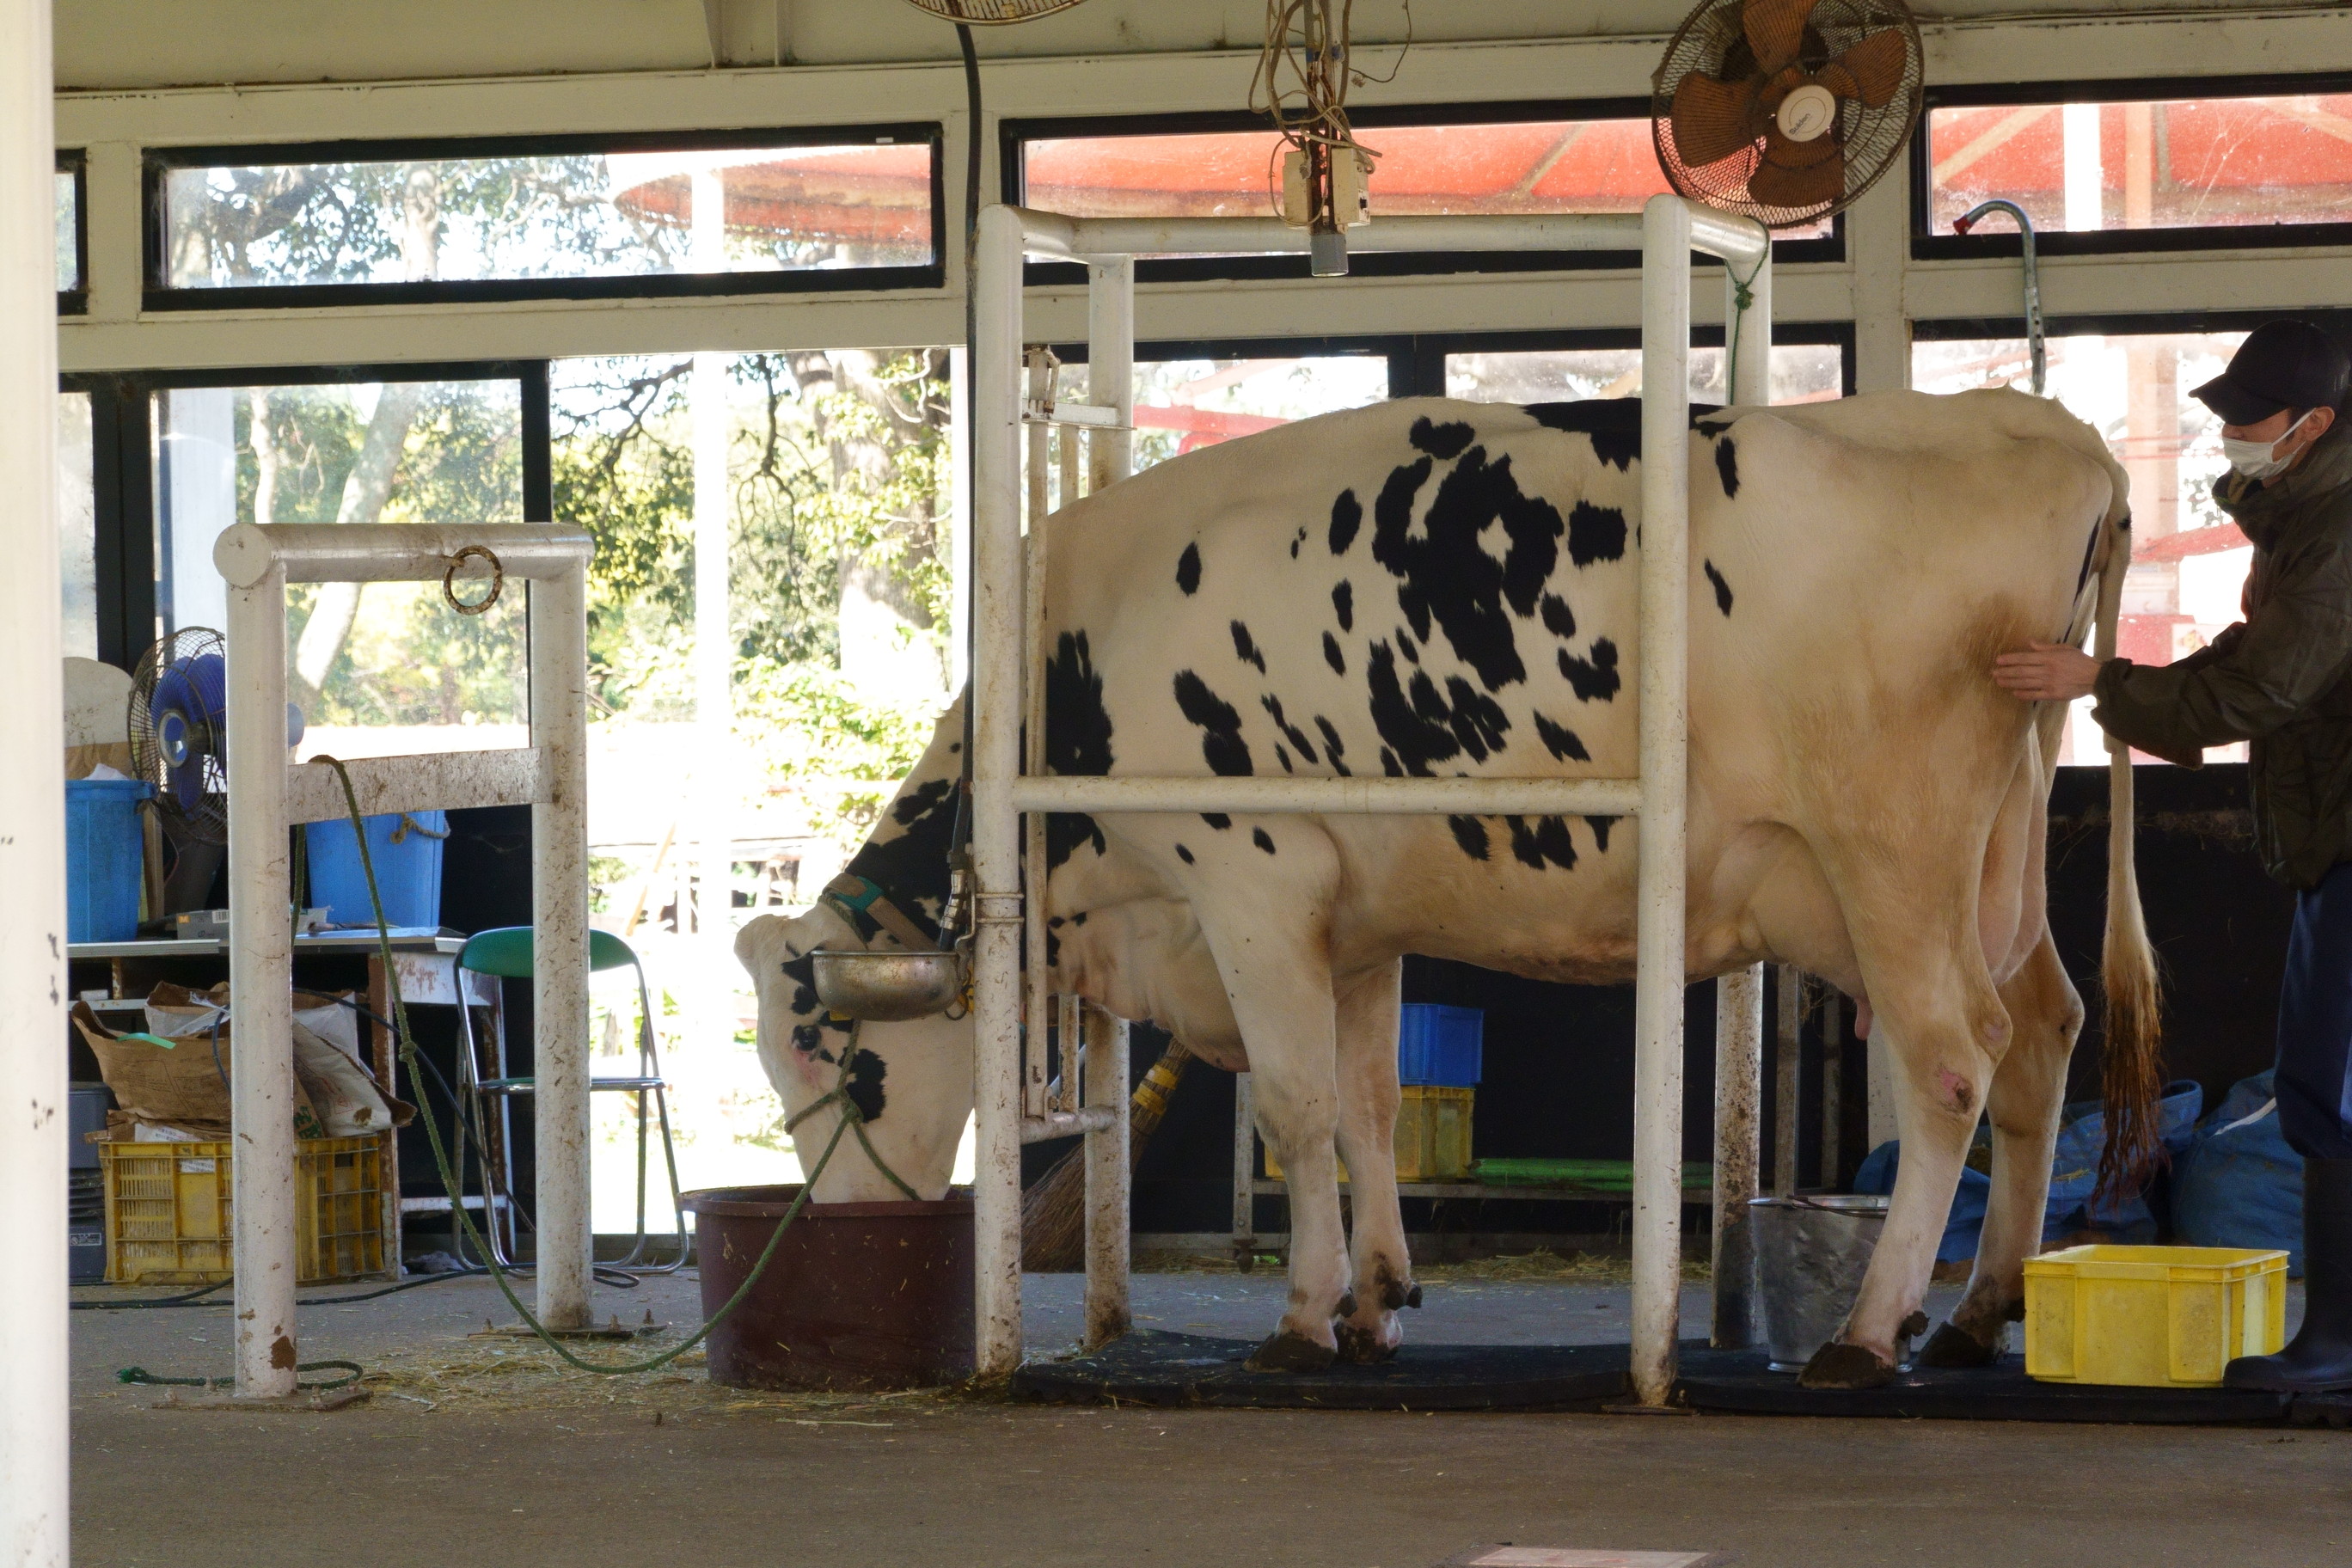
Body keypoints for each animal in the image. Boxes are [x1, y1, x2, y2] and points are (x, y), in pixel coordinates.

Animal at [743, 389, 2154, 1381]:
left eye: (827, 1060)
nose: (839, 1226)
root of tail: (2044, 425)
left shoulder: (1248, 877)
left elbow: (1300, 1108)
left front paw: (1303, 1318)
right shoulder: (1358, 921)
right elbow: (1369, 1108)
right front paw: (1378, 1300)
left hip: (1892, 852)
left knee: (1955, 1061)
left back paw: (1869, 1334)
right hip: (2000, 855)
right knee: (2043, 1039)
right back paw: (1977, 1315)